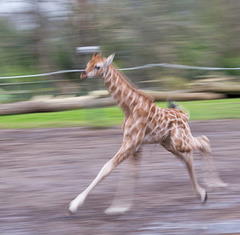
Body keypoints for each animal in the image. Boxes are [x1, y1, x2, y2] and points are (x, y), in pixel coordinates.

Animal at [68, 53, 227, 215]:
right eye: (88, 63)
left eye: (98, 66)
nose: (83, 73)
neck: (129, 107)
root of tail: (184, 115)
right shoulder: (134, 144)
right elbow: (132, 172)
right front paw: (120, 207)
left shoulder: (132, 142)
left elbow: (107, 167)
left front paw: (74, 205)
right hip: (168, 143)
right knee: (188, 158)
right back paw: (202, 194)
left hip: (179, 141)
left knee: (204, 141)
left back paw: (216, 185)